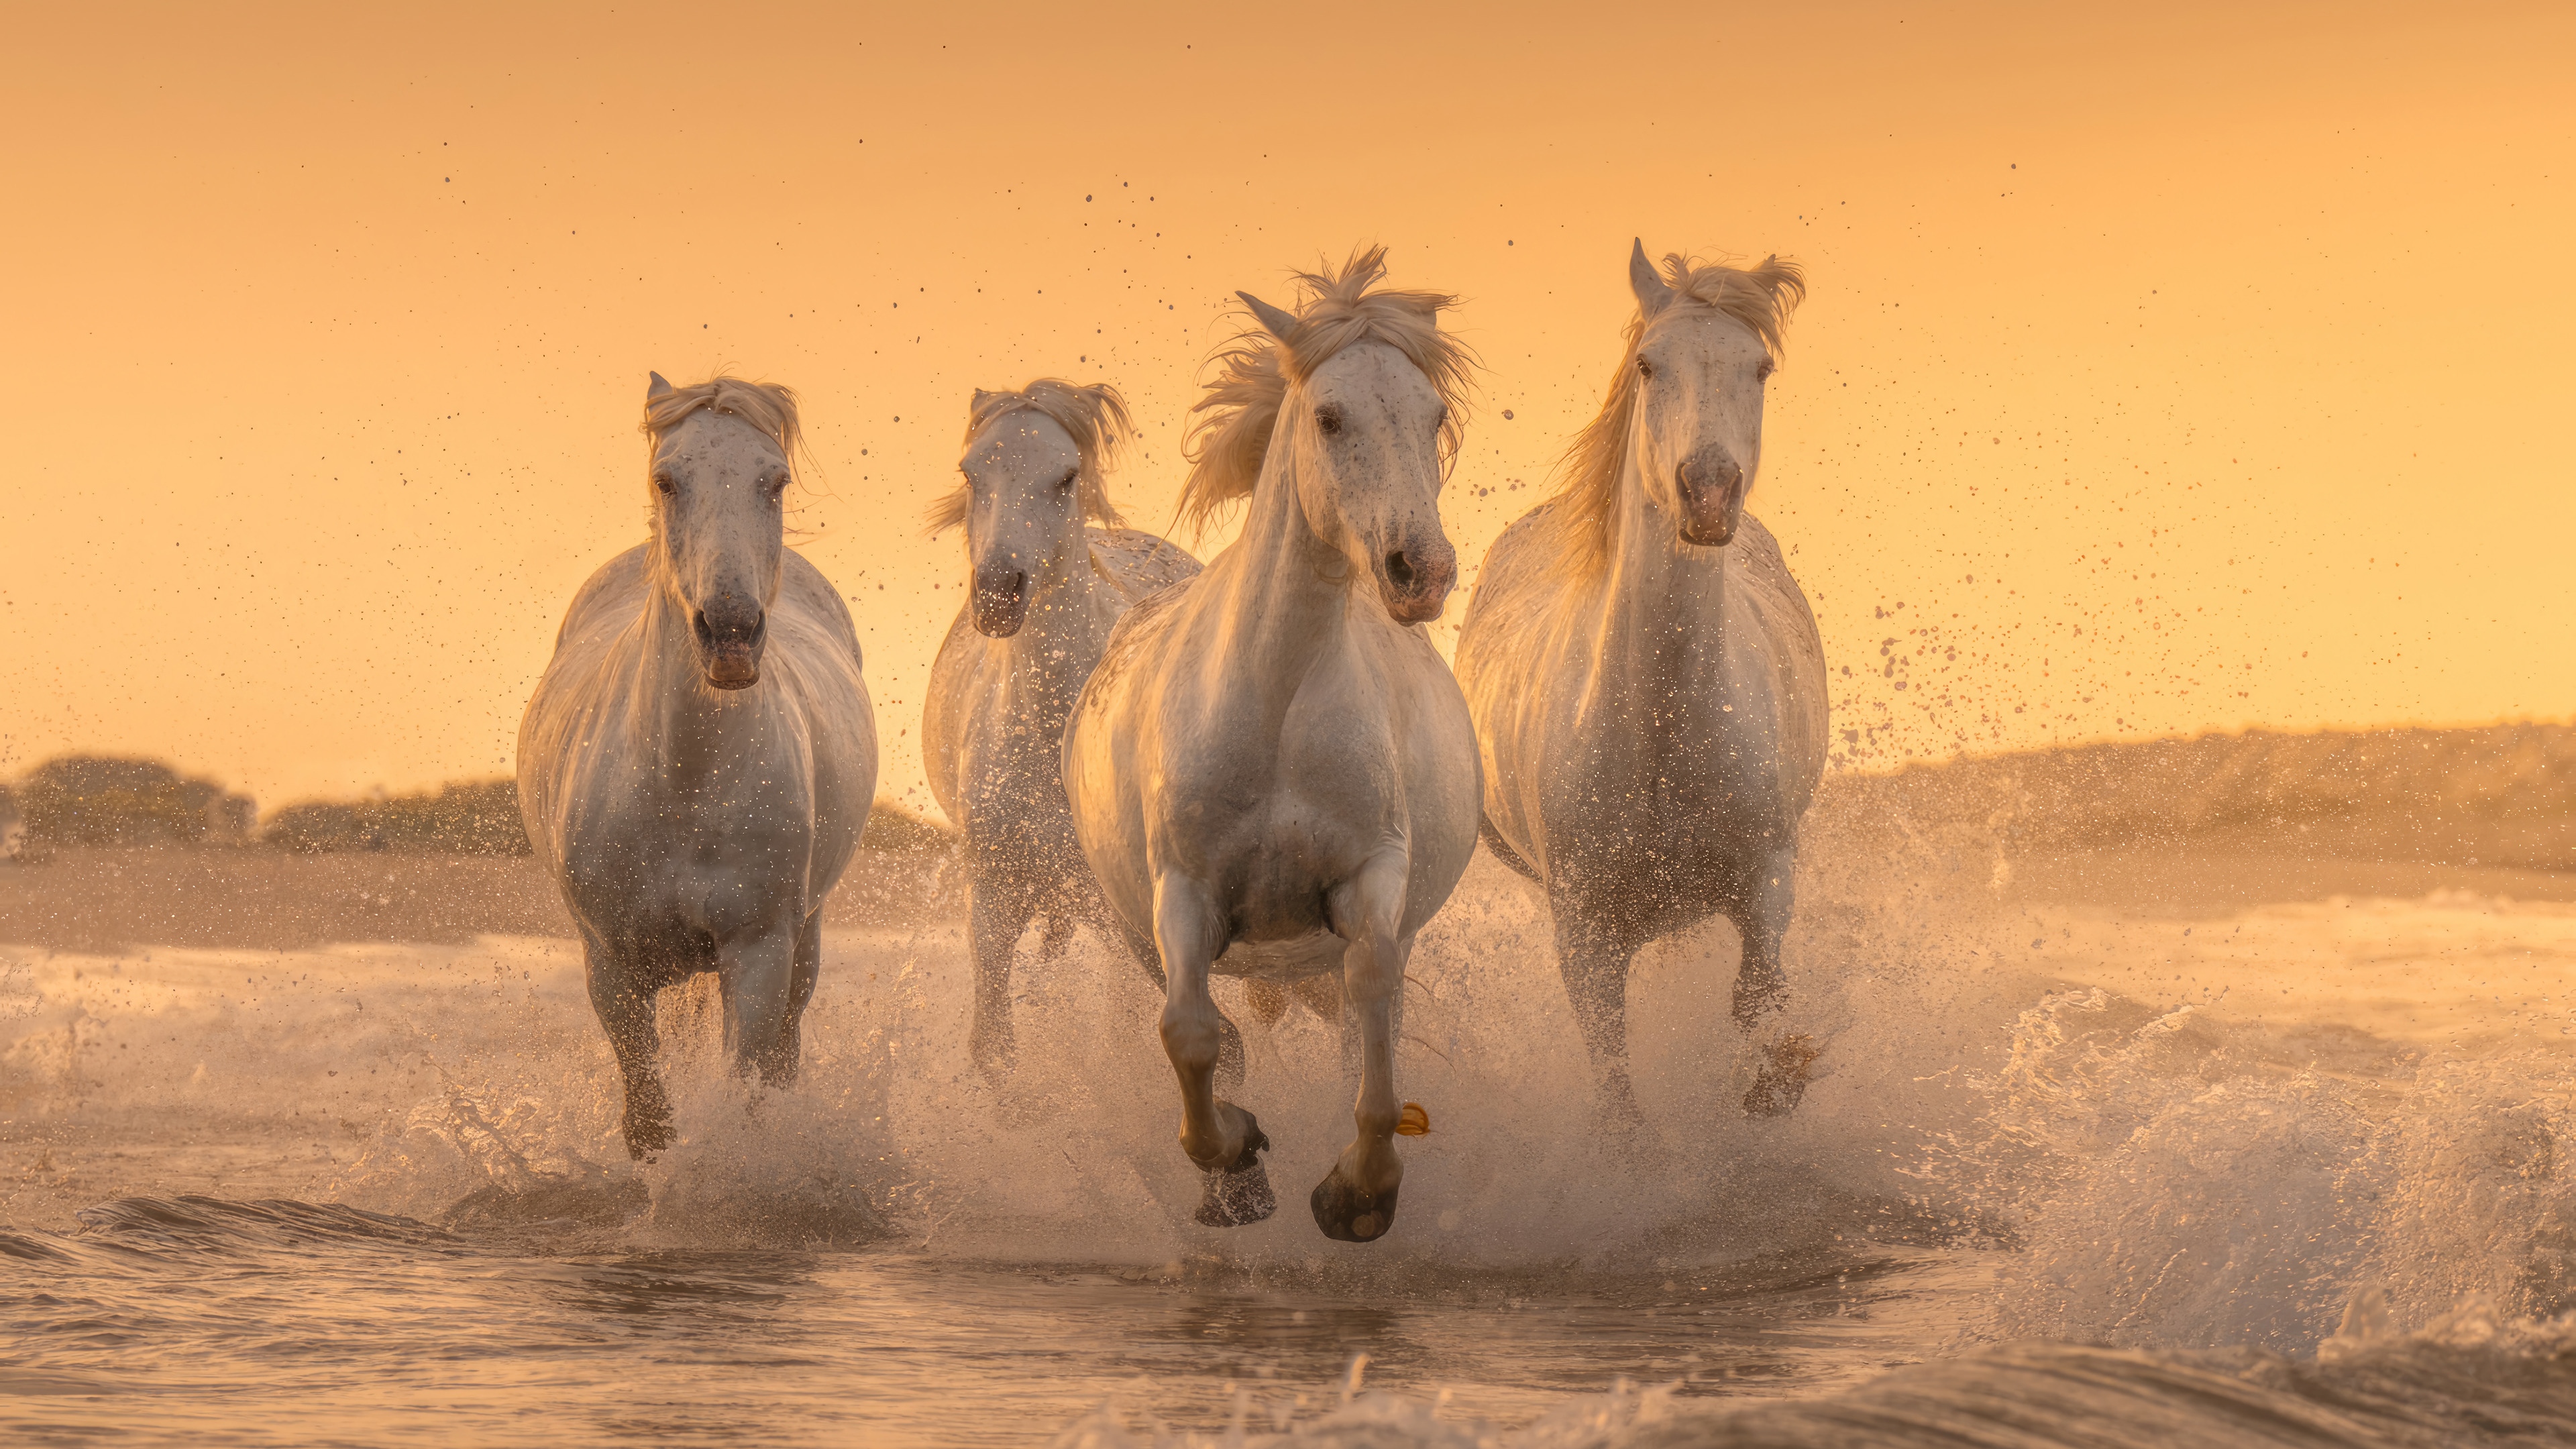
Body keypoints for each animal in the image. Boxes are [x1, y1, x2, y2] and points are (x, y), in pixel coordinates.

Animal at [518, 373, 878, 1160]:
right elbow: (650, 1122)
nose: (732, 633)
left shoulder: (759, 954)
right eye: (667, 480)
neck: (683, 781)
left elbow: (744, 1099)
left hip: (804, 942)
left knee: (784, 1057)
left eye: (774, 480)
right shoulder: (614, 967)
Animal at [918, 379, 1233, 1082]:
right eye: (970, 472)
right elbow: (994, 1050)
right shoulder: (995, 894)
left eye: (1065, 476)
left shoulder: (1126, 913)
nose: (998, 593)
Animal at [1062, 246, 1482, 1242]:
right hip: (1140, 929)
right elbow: (1189, 1034)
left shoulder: (1370, 876)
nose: (1421, 570)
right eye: (1329, 417)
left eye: (1434, 415)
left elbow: (1374, 1001)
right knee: (1214, 1031)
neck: (1277, 704)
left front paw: (1359, 1193)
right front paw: (1236, 1167)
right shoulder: (1184, 893)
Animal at [1454, 241, 1829, 1129]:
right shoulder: (1585, 931)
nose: (1709, 491)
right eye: (1649, 365)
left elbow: (1756, 1002)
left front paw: (1767, 1088)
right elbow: (1618, 1091)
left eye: (1760, 367)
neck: (1662, 725)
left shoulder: (1768, 879)